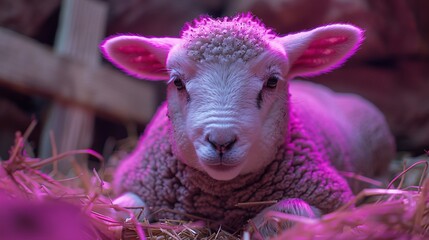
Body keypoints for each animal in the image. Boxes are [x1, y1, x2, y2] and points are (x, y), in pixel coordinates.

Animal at [100, 13, 394, 238]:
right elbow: (117, 209)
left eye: (272, 81)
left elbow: (288, 212)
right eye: (177, 82)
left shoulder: (328, 197)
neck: (220, 195)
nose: (221, 141)